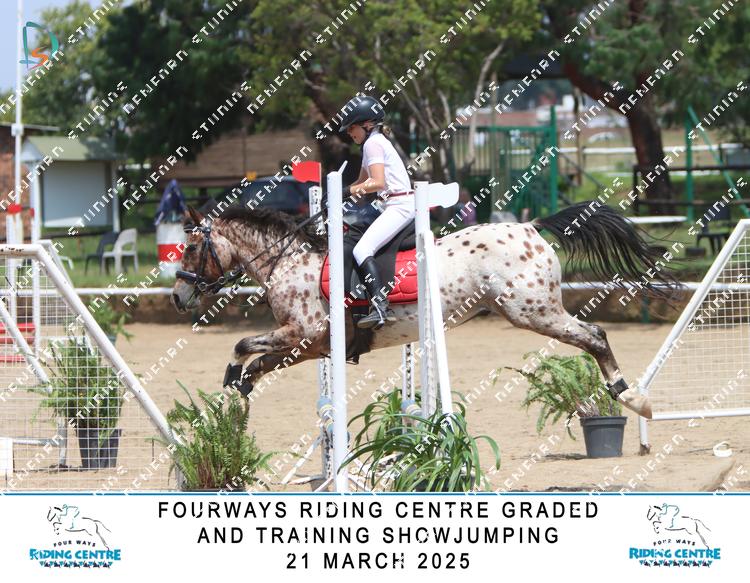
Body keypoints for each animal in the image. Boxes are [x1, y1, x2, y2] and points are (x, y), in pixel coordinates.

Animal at [171, 201, 682, 419]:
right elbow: (259, 362)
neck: (289, 262)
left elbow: (243, 344)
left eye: (191, 247)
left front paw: (232, 378)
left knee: (594, 335)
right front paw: (239, 389)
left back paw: (632, 397)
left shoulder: (305, 333)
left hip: (532, 311)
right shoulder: (310, 347)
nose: (177, 297)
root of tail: (532, 227)